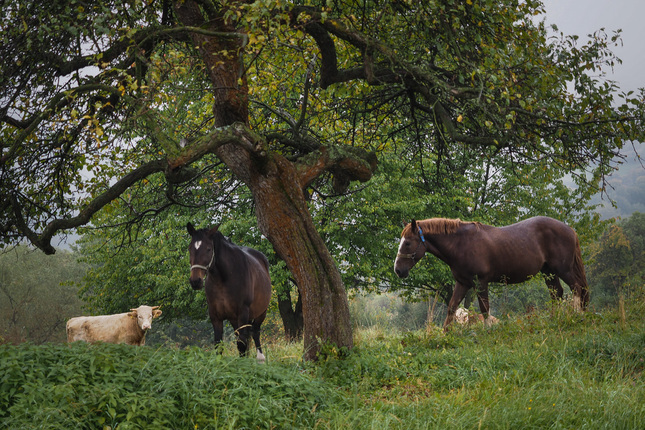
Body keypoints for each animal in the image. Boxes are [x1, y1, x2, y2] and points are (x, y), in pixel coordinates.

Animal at [186, 223, 272, 362]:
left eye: (209, 249)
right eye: (189, 249)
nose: (195, 281)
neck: (223, 279)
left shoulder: (242, 313)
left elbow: (241, 345)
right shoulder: (215, 316)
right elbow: (218, 345)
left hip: (261, 313)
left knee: (255, 331)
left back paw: (260, 358)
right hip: (234, 319)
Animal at [392, 217, 588, 328]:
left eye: (407, 243)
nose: (398, 270)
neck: (461, 244)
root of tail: (570, 229)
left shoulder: (481, 282)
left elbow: (484, 309)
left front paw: (488, 330)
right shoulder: (462, 283)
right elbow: (452, 307)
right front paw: (445, 334)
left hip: (563, 269)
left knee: (577, 288)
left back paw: (576, 316)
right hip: (548, 272)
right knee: (557, 293)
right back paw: (556, 319)